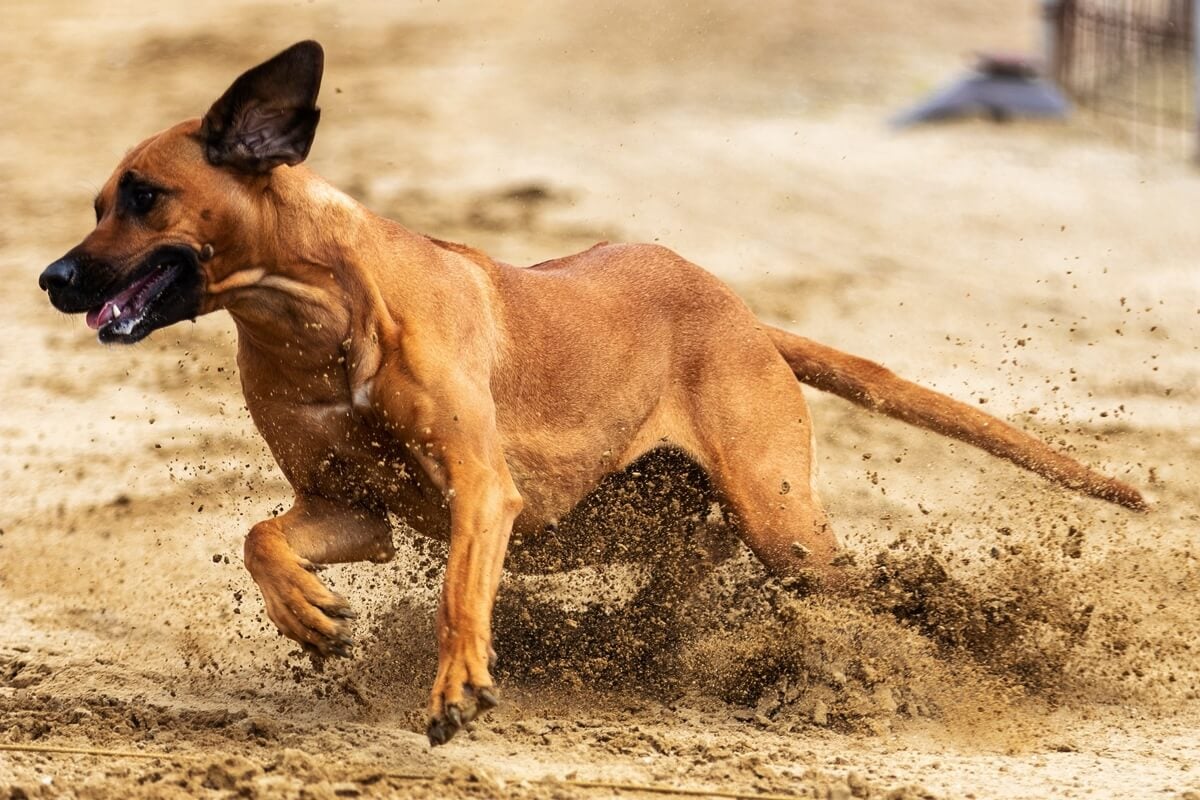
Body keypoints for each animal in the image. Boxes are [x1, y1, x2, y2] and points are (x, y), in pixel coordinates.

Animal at [37, 42, 1142, 743]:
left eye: (144, 197)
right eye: (94, 202)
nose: (52, 278)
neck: (309, 315)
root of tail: (745, 316)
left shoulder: (481, 489)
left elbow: (457, 592)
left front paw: (456, 686)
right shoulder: (351, 507)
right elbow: (262, 535)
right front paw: (308, 613)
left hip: (780, 520)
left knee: (847, 581)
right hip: (634, 516)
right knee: (681, 574)